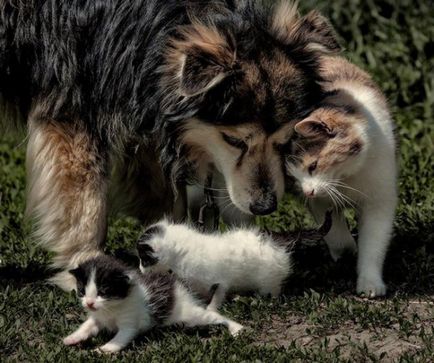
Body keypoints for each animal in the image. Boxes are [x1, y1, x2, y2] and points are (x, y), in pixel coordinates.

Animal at [0, 0, 340, 290]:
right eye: (233, 140)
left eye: (284, 141)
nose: (265, 206)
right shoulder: (71, 108)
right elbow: (86, 201)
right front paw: (87, 263)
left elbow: (161, 190)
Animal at [63, 255, 244, 354]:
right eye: (82, 291)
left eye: (103, 291)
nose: (89, 303)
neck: (110, 308)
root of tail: (180, 287)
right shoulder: (98, 317)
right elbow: (87, 326)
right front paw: (72, 338)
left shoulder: (130, 322)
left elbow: (121, 338)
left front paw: (102, 350)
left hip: (192, 315)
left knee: (214, 316)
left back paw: (237, 329)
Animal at [137, 213, 330, 312]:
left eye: (143, 260)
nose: (139, 269)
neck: (181, 257)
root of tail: (278, 241)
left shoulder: (220, 281)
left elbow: (216, 297)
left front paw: (210, 310)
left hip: (268, 282)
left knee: (272, 294)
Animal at [286, 54, 398, 298]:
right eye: (292, 177)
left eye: (313, 166)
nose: (307, 191)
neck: (347, 178)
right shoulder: (319, 202)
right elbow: (336, 235)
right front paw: (346, 251)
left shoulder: (379, 201)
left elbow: (373, 243)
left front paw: (370, 283)